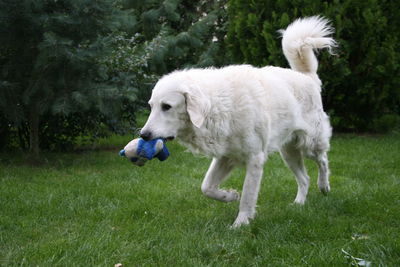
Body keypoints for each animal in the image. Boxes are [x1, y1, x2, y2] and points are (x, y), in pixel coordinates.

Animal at [141, 16, 338, 228]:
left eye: (166, 106)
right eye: (151, 106)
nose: (143, 135)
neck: (218, 105)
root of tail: (306, 77)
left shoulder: (254, 159)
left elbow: (247, 197)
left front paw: (240, 224)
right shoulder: (225, 156)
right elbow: (207, 187)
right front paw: (229, 196)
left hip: (310, 144)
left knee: (323, 161)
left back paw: (324, 186)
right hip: (289, 152)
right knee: (304, 178)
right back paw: (299, 203)